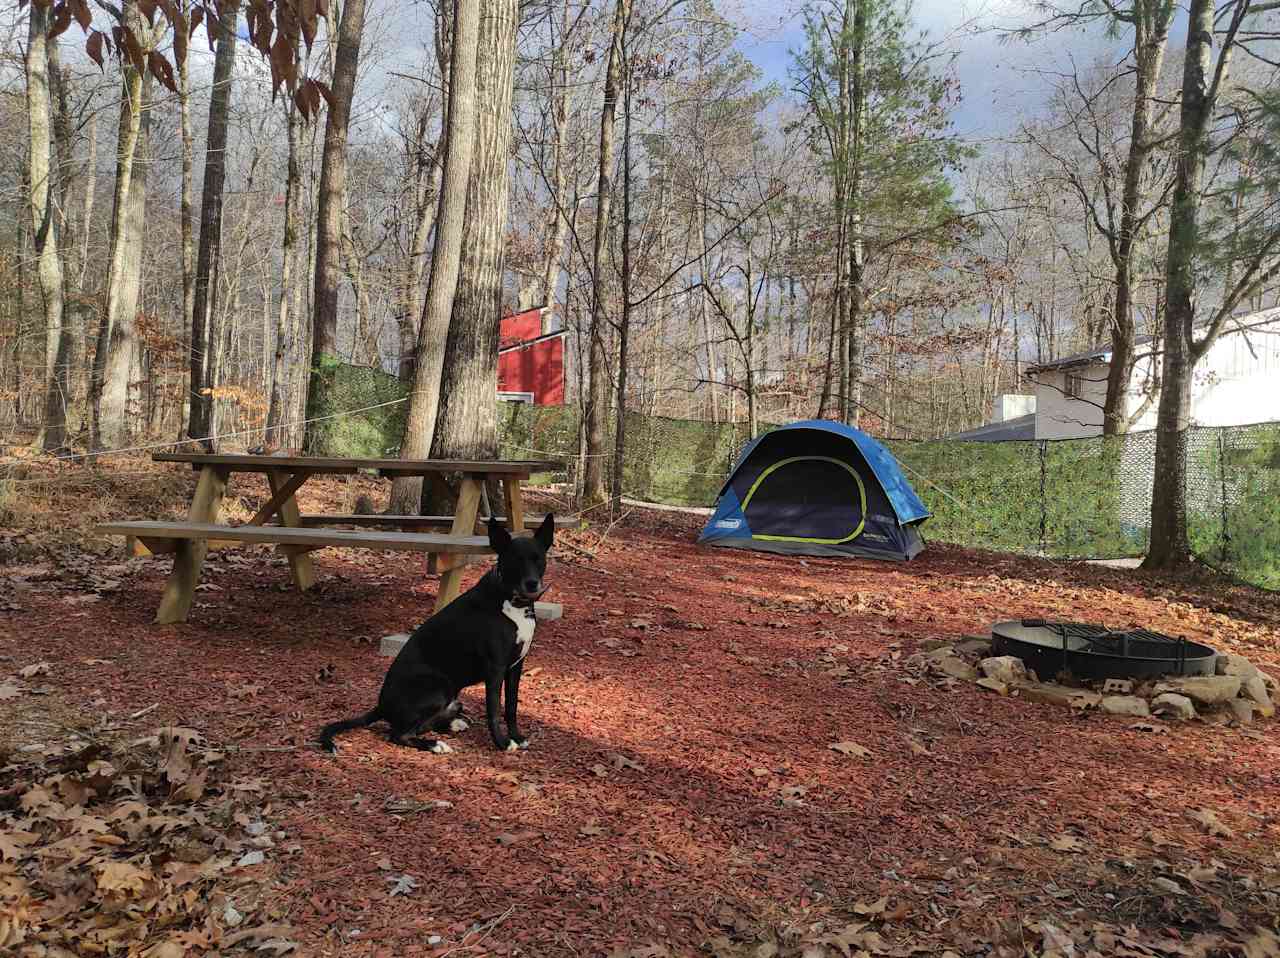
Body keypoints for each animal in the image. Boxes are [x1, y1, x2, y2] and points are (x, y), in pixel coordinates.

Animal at [317, 512, 552, 753]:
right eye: (515, 560)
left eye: (539, 559)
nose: (532, 584)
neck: (512, 602)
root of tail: (381, 706)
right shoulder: (495, 669)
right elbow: (494, 710)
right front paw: (503, 742)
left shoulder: (516, 666)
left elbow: (511, 706)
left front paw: (517, 737)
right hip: (439, 687)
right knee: (399, 734)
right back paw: (435, 744)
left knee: (421, 726)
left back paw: (452, 725)